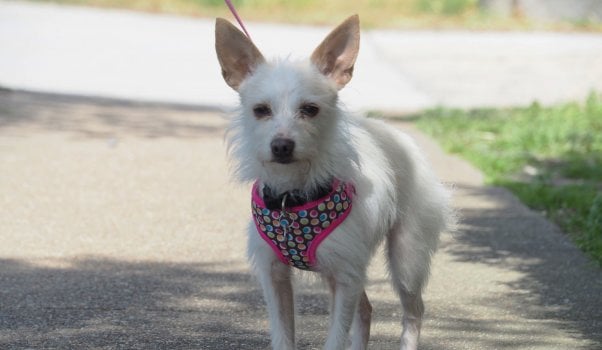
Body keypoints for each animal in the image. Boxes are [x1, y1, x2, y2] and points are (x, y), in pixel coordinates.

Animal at [214, 15, 450, 348]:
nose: (282, 146)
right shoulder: (276, 277)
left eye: (310, 110)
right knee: (366, 309)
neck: (292, 197)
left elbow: (336, 339)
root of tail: (401, 138)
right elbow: (284, 336)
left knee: (414, 311)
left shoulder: (345, 277)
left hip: (407, 261)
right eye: (260, 110)